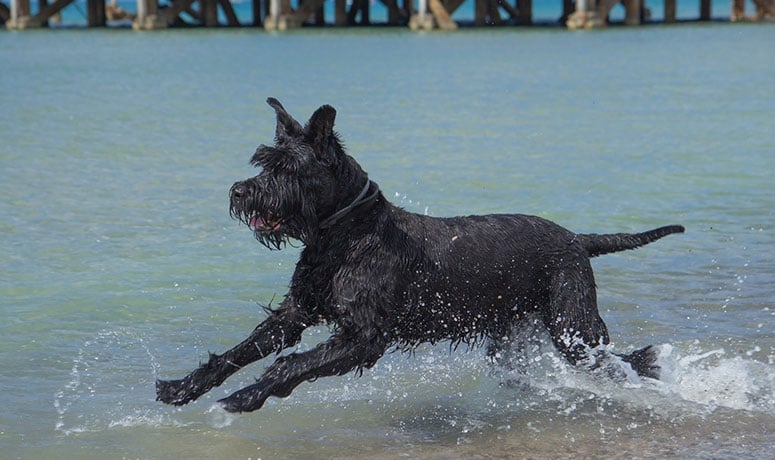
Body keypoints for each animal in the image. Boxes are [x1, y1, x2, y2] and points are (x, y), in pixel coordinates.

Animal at [158, 97, 684, 414]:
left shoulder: (365, 337)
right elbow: (240, 351)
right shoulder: (296, 313)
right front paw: (184, 387)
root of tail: (578, 238)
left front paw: (246, 396)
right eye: (262, 163)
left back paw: (656, 371)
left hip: (573, 326)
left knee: (619, 359)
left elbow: (289, 365)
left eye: (286, 168)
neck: (345, 235)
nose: (239, 191)